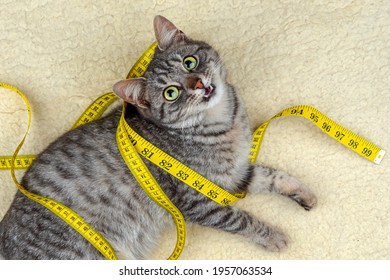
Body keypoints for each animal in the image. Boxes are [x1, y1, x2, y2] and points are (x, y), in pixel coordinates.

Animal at [0, 15, 316, 260]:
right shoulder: (198, 202)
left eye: (190, 62)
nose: (199, 84)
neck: (226, 122)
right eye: (171, 93)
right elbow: (240, 220)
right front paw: (272, 236)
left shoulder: (235, 176)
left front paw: (303, 192)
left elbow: (272, 176)